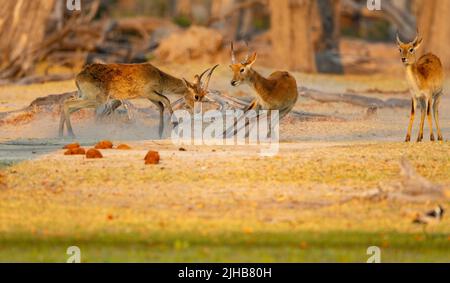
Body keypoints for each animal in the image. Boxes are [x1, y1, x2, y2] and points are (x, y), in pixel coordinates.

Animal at [58, 64, 218, 140]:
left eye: (203, 95)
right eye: (196, 96)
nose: (193, 109)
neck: (159, 75)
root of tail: (78, 76)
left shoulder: (150, 96)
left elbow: (161, 106)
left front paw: (159, 132)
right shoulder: (149, 93)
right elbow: (166, 100)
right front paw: (174, 124)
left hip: (85, 97)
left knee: (67, 104)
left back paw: (61, 134)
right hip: (96, 100)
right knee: (67, 104)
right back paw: (71, 135)